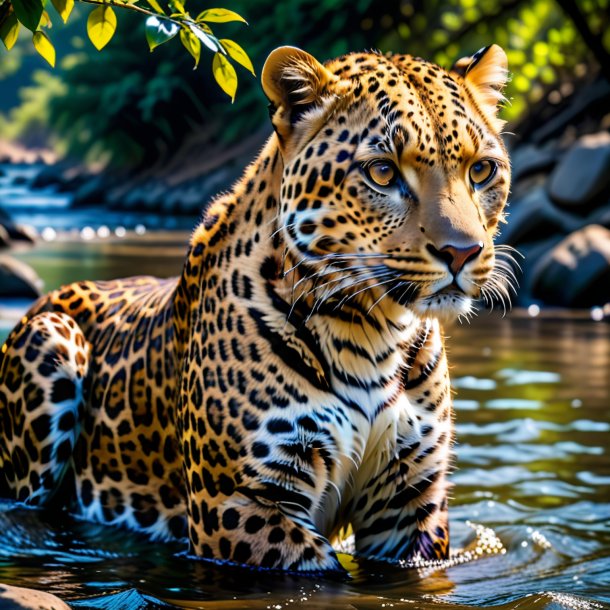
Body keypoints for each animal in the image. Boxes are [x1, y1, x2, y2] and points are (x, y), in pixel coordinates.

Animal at [0, 44, 510, 568]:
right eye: (383, 172)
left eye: (481, 170)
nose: (463, 252)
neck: (373, 330)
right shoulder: (241, 503)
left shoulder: (410, 504)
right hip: (49, 343)